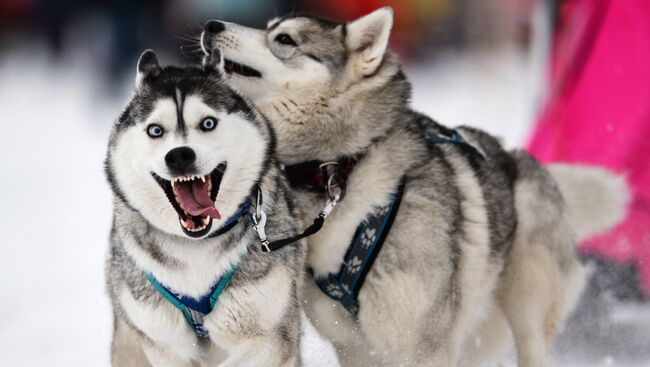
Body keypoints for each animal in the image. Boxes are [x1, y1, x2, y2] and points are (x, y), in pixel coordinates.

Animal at [104, 49, 306, 367]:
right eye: (155, 130)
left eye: (208, 123)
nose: (179, 156)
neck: (194, 247)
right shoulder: (164, 346)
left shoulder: (271, 338)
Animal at [200, 8, 624, 367]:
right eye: (268, 27)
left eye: (285, 39)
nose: (211, 25)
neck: (340, 169)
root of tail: (522, 159)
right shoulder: (353, 346)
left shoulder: (424, 346)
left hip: (528, 301)